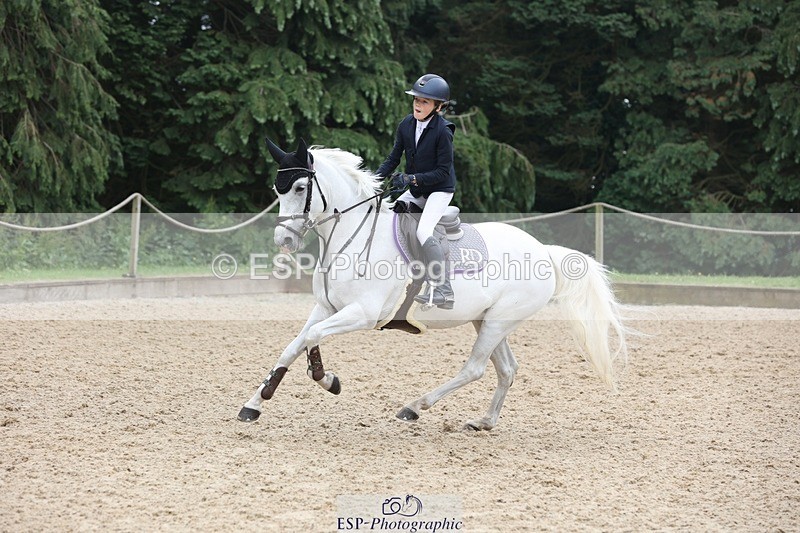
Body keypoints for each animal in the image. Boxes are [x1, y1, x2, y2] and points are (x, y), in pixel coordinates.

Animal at [237, 138, 628, 430]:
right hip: (487, 320)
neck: (351, 236)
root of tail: (544, 251)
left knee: (475, 368)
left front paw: (327, 380)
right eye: (277, 189)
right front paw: (255, 403)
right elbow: (294, 345)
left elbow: (312, 339)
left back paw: (414, 406)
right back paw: (484, 421)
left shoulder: (361, 313)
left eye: (301, 187)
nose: (284, 240)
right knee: (506, 369)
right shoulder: (326, 308)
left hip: (499, 321)